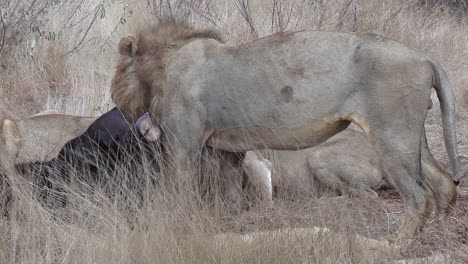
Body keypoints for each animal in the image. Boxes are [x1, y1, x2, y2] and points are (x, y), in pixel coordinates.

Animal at [111, 22, 458, 239]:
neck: (163, 67)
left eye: (118, 70)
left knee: (418, 196)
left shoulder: (184, 144)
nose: (114, 97)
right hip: (411, 136)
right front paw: (234, 222)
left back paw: (397, 245)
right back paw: (438, 229)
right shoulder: (228, 149)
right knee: (443, 183)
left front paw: (173, 222)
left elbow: (178, 190)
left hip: (390, 136)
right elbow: (231, 192)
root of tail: (425, 58)